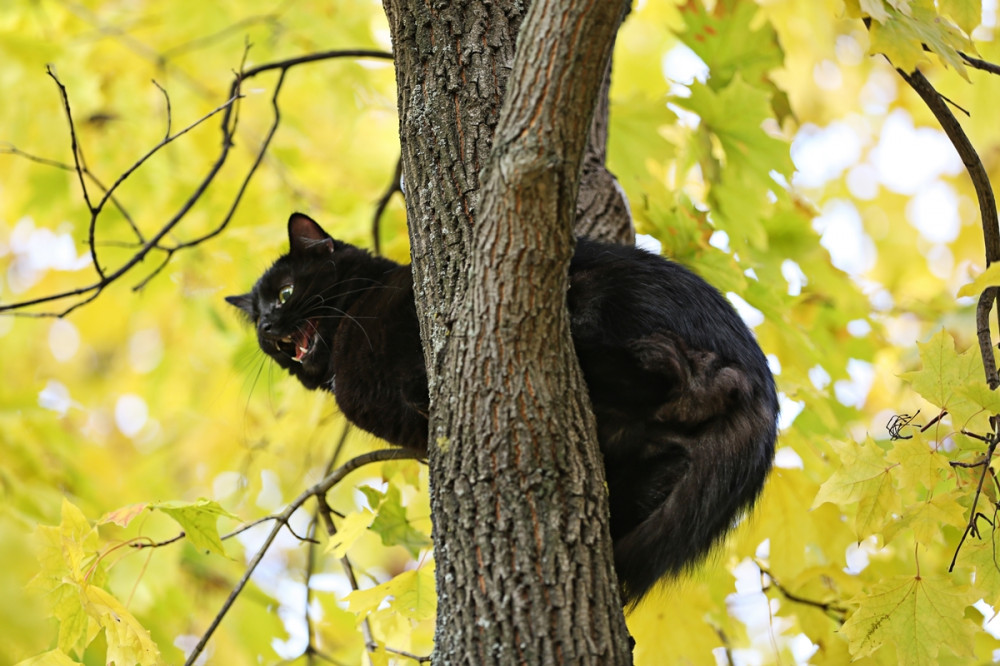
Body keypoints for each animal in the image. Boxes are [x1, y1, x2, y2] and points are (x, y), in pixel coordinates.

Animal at [229, 211, 780, 600]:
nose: (269, 328)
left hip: (600, 298)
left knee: (687, 377)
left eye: (285, 293)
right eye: (258, 326)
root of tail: (762, 390)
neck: (347, 331)